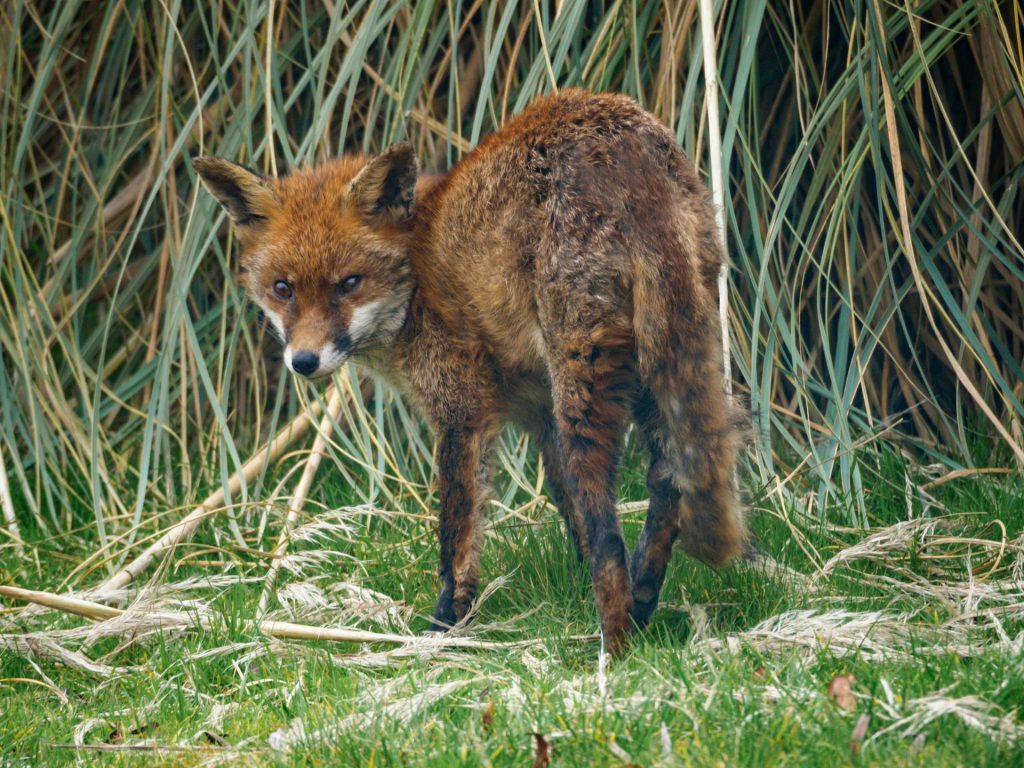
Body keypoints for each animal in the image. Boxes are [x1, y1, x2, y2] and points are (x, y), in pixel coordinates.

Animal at [193, 88, 746, 653]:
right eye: (283, 289)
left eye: (349, 283)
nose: (304, 361)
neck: (415, 276)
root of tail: (623, 153)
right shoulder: (540, 414)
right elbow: (569, 517)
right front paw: (574, 590)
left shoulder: (462, 413)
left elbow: (458, 536)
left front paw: (444, 630)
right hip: (661, 364)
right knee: (668, 482)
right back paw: (642, 600)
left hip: (585, 385)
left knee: (609, 531)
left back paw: (615, 648)